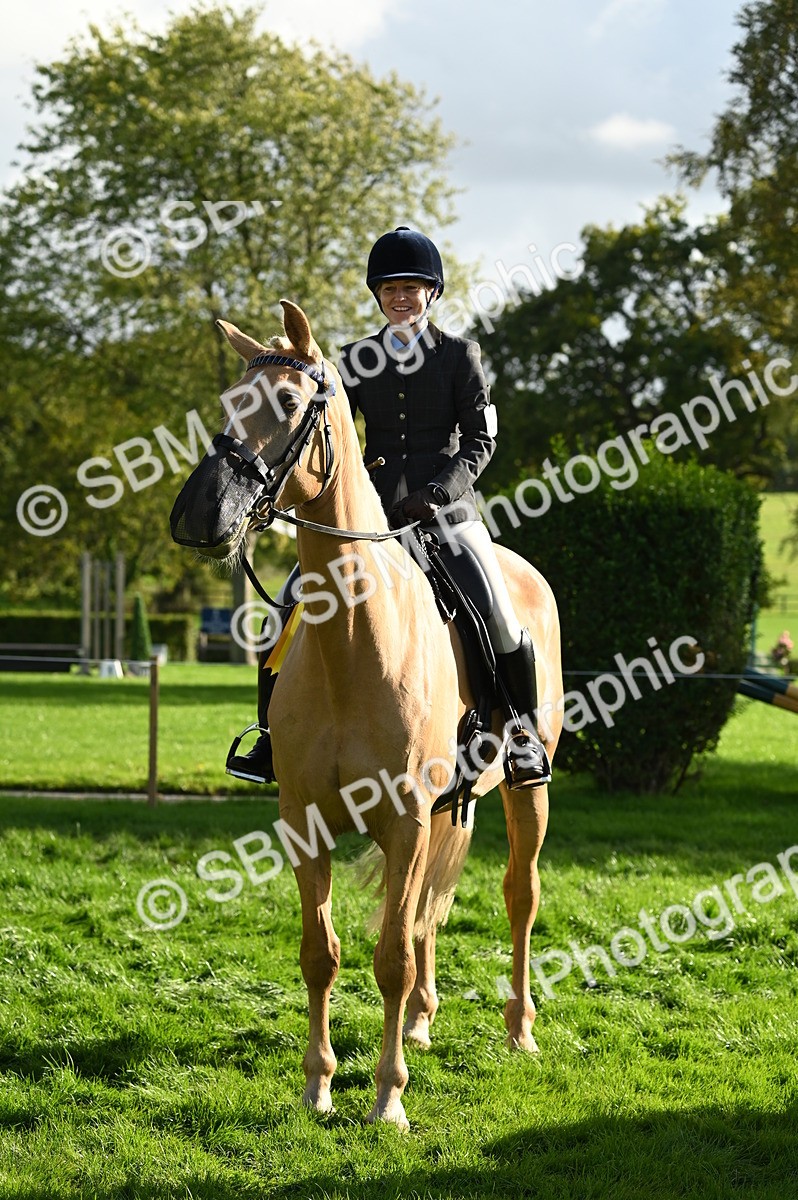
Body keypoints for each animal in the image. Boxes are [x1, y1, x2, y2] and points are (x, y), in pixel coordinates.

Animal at [170, 300, 563, 1129]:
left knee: (518, 896)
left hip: (525, 791)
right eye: (228, 401)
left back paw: (518, 1030)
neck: (355, 640)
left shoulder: (406, 818)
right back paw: (421, 1019)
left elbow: (389, 957)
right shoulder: (307, 819)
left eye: (290, 402)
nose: (198, 516)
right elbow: (324, 954)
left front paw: (388, 1098)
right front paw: (319, 1086)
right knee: (424, 919)